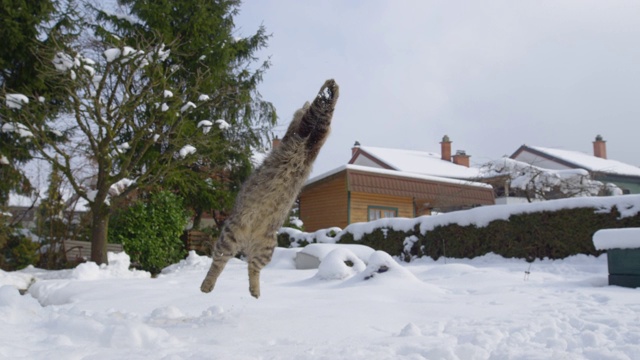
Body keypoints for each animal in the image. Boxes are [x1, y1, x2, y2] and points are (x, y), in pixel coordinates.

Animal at [200, 79, 340, 298]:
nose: (301, 108)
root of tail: (249, 239)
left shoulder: (314, 134)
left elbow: (323, 110)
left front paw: (332, 90)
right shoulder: (309, 130)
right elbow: (321, 106)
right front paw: (330, 89)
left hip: (265, 249)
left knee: (252, 268)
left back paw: (255, 291)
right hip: (230, 237)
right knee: (218, 263)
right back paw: (207, 285)